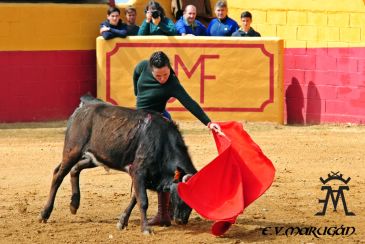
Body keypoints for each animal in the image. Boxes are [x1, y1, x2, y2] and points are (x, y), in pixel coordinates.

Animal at [39, 96, 196, 234]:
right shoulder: (139, 172)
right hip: (72, 151)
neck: (162, 143)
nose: (182, 220)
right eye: (182, 194)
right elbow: (143, 201)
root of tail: (85, 105)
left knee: (74, 169)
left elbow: (135, 198)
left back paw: (74, 205)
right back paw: (44, 214)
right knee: (58, 175)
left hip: (94, 157)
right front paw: (146, 229)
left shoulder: (142, 176)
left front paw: (122, 222)